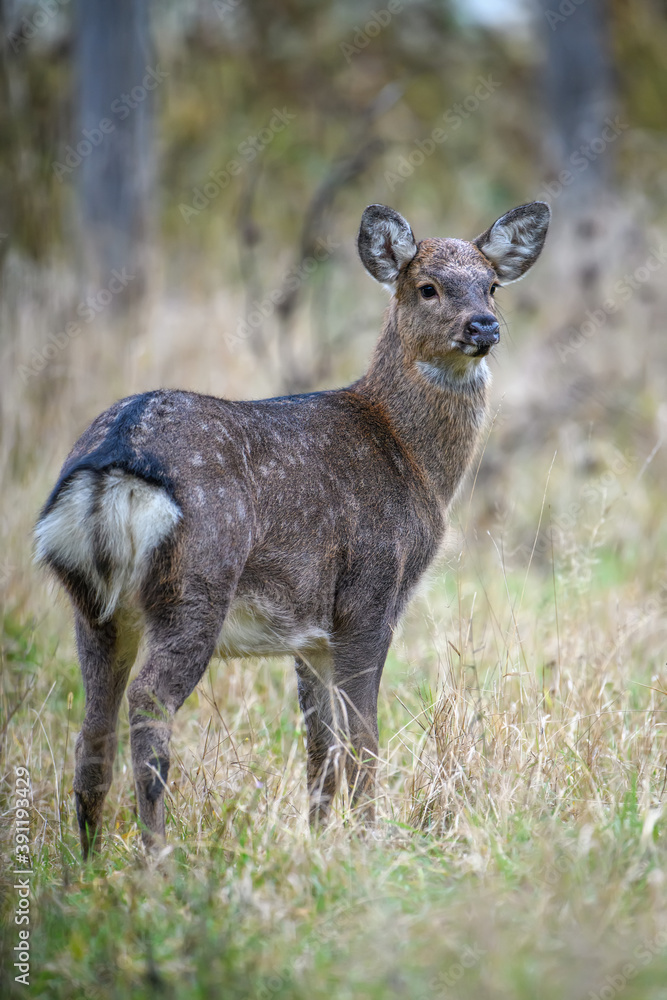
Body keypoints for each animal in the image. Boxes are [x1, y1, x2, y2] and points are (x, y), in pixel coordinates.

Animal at [35, 199, 548, 856]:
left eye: (492, 284)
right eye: (427, 287)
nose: (484, 326)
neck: (412, 459)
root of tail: (114, 465)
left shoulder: (310, 631)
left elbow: (319, 745)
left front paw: (321, 837)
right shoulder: (369, 595)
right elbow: (362, 738)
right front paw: (368, 840)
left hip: (92, 604)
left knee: (92, 727)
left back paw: (88, 863)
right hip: (198, 583)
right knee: (149, 703)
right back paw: (158, 857)